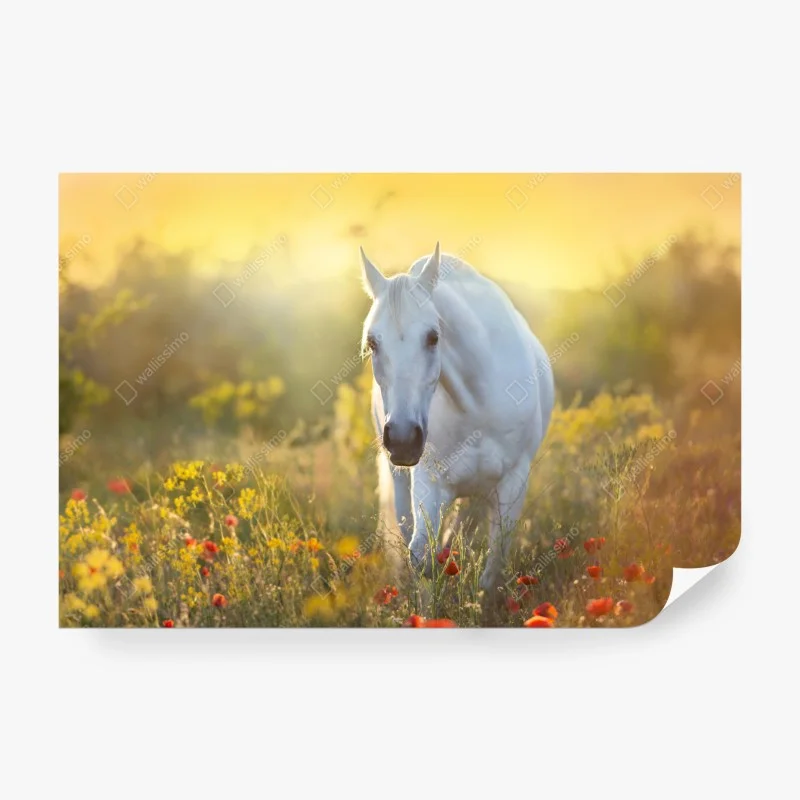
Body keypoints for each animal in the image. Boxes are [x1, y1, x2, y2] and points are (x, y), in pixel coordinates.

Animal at [359, 243, 555, 594]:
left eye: (433, 337)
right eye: (372, 342)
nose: (403, 439)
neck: (476, 404)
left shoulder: (513, 481)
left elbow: (494, 566)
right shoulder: (429, 480)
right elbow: (421, 556)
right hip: (402, 481)